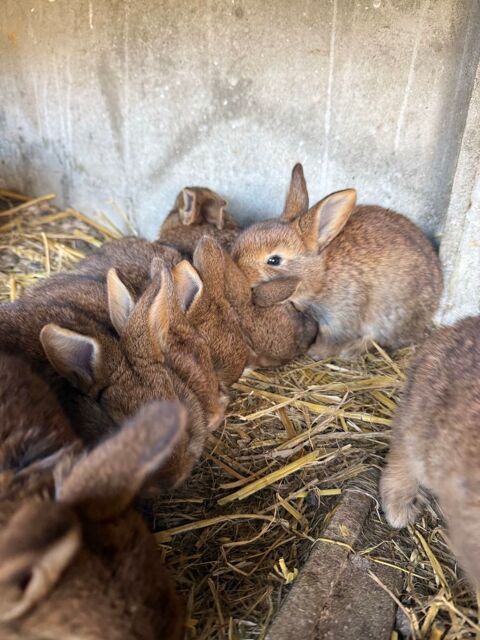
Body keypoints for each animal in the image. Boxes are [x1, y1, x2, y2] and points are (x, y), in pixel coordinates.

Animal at [232, 163, 443, 360]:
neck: (322, 273)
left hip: (390, 315)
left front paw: (315, 353)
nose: (237, 269)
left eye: (274, 260)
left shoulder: (339, 315)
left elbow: (332, 338)